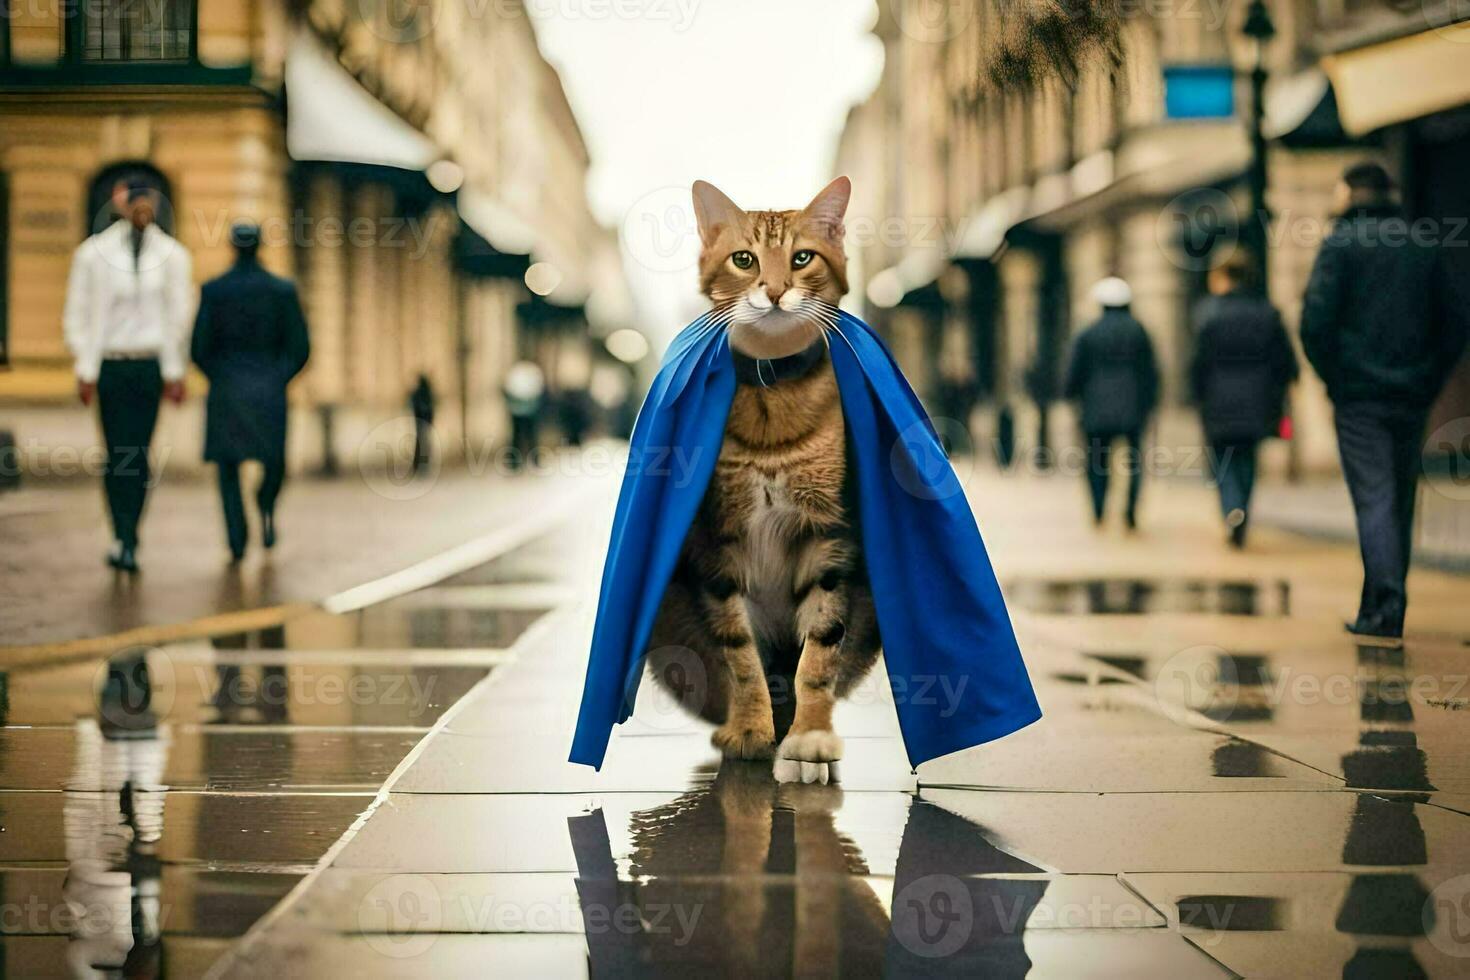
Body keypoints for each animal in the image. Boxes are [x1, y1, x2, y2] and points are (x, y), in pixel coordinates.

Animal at [646, 176, 876, 775]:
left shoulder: (829, 539)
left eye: (802, 258)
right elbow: (741, 657)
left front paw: (809, 736)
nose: (774, 291)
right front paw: (751, 728)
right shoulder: (719, 547)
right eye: (744, 260)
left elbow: (818, 653)